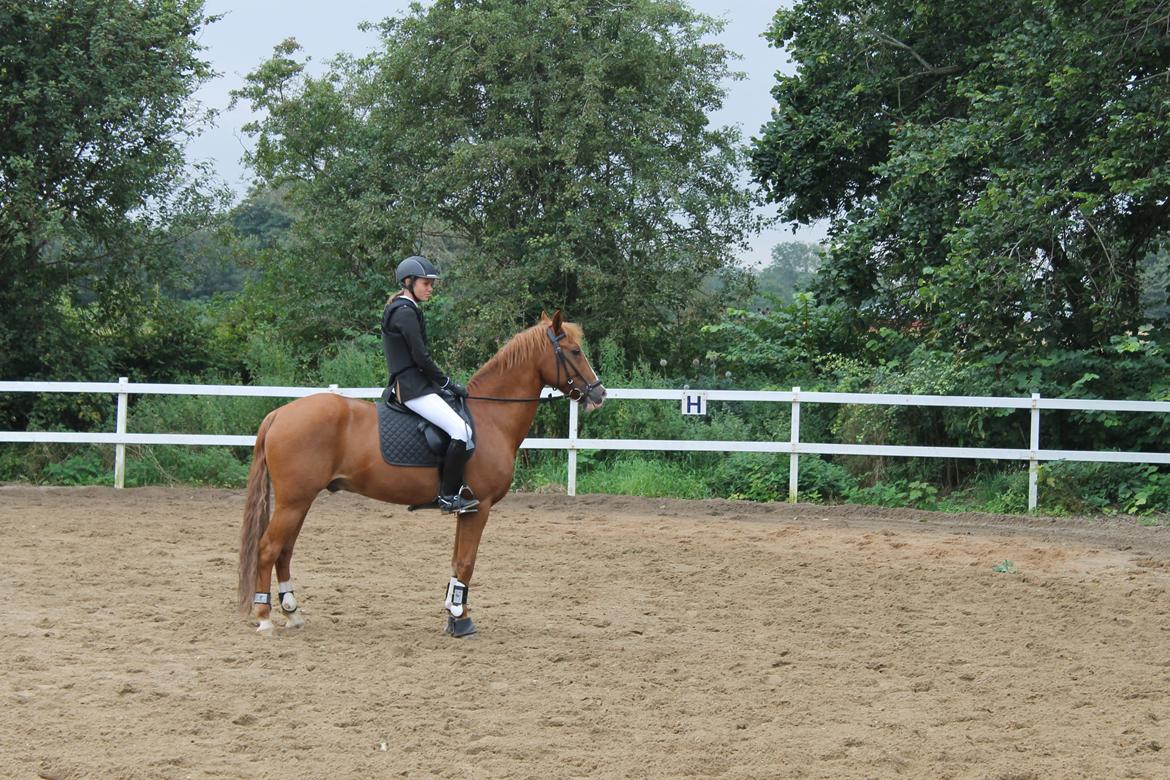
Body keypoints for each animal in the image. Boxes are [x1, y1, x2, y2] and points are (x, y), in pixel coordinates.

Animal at [237, 310, 606, 637]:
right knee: (268, 548)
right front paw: (461, 620)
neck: (491, 416)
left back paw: (292, 613)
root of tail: (280, 414)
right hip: (294, 501)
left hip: (300, 501)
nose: (599, 393)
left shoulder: (466, 509)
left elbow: (457, 561)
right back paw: (264, 617)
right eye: (575, 351)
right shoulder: (479, 507)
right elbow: (467, 563)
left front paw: (453, 616)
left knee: (285, 550)